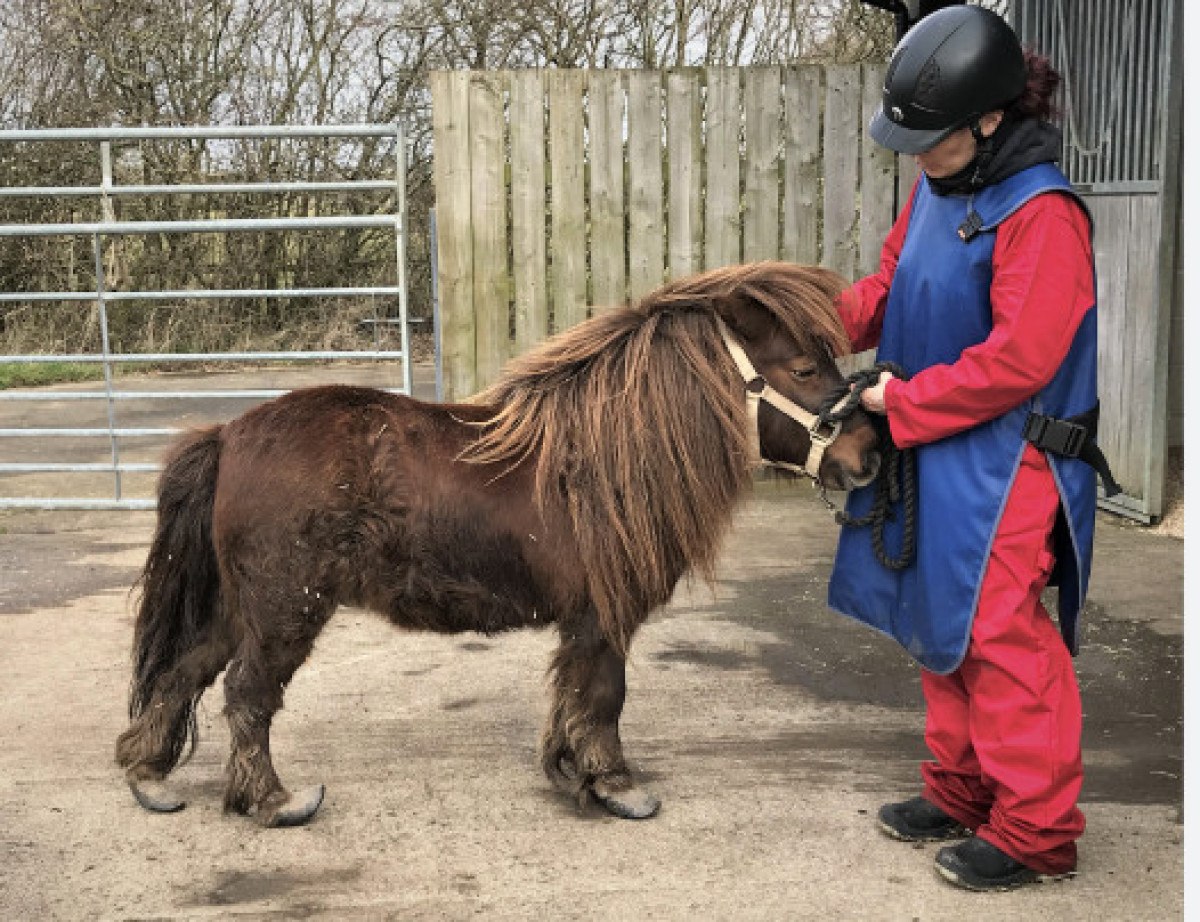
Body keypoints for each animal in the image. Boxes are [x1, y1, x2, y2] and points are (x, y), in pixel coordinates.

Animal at [114, 261, 883, 825]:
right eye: (805, 370)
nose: (870, 454)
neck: (603, 458)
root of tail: (229, 435)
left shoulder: (582, 621)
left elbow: (573, 692)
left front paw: (572, 770)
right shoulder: (604, 616)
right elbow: (605, 693)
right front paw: (616, 785)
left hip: (241, 608)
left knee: (185, 671)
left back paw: (150, 776)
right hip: (284, 610)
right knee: (247, 692)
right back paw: (271, 801)